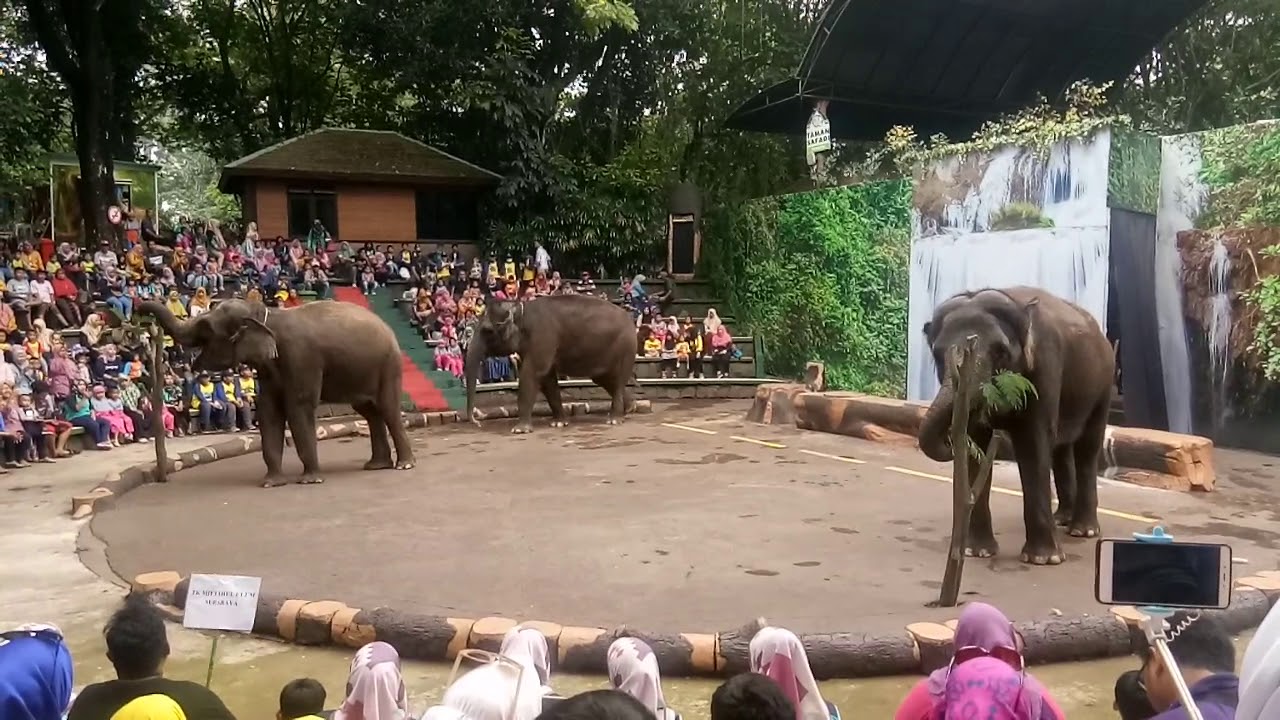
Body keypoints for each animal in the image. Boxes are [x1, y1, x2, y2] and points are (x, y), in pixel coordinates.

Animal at [140, 294, 419, 484]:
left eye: (206, 329)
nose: (141, 312)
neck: (265, 313)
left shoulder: (301, 357)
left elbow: (298, 408)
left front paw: (310, 479)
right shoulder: (269, 367)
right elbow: (268, 410)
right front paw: (272, 482)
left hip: (389, 365)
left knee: (387, 408)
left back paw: (404, 465)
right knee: (370, 412)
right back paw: (376, 465)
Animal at [463, 293, 637, 430]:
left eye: (487, 331)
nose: (477, 422)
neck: (521, 309)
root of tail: (631, 320)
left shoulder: (543, 336)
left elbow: (532, 373)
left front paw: (519, 430)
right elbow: (547, 379)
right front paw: (558, 423)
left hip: (625, 346)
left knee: (617, 379)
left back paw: (614, 419)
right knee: (604, 378)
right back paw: (630, 408)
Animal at [921, 284, 1111, 561]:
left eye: (1000, 351)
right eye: (937, 353)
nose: (947, 442)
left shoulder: (1044, 366)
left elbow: (1033, 442)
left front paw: (1044, 559)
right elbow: (977, 441)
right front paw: (977, 551)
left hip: (1102, 388)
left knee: (1087, 448)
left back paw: (1082, 531)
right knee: (1061, 448)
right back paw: (1062, 519)